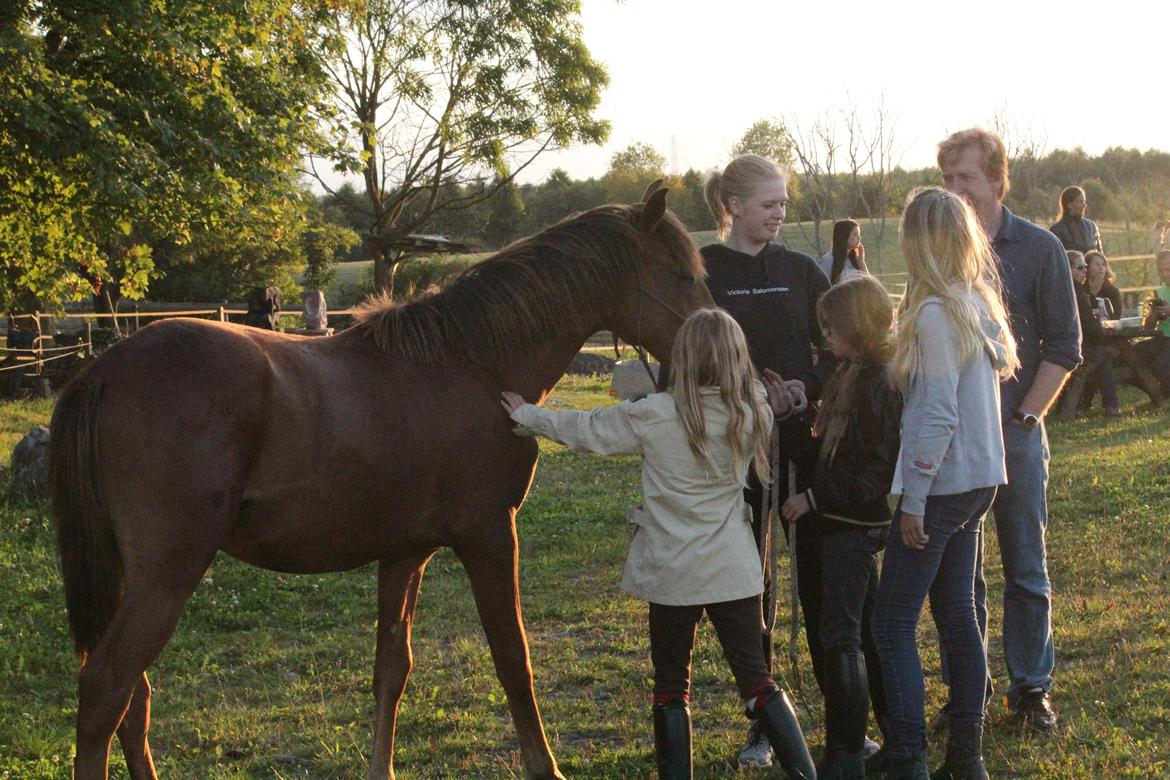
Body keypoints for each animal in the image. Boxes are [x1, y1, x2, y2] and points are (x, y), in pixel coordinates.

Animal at [47, 185, 711, 776]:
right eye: (680, 273)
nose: (719, 340)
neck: (472, 362)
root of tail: (103, 370)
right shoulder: (491, 537)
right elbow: (513, 662)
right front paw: (544, 767)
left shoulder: (404, 553)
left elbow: (392, 671)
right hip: (167, 573)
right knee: (105, 689)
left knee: (131, 698)